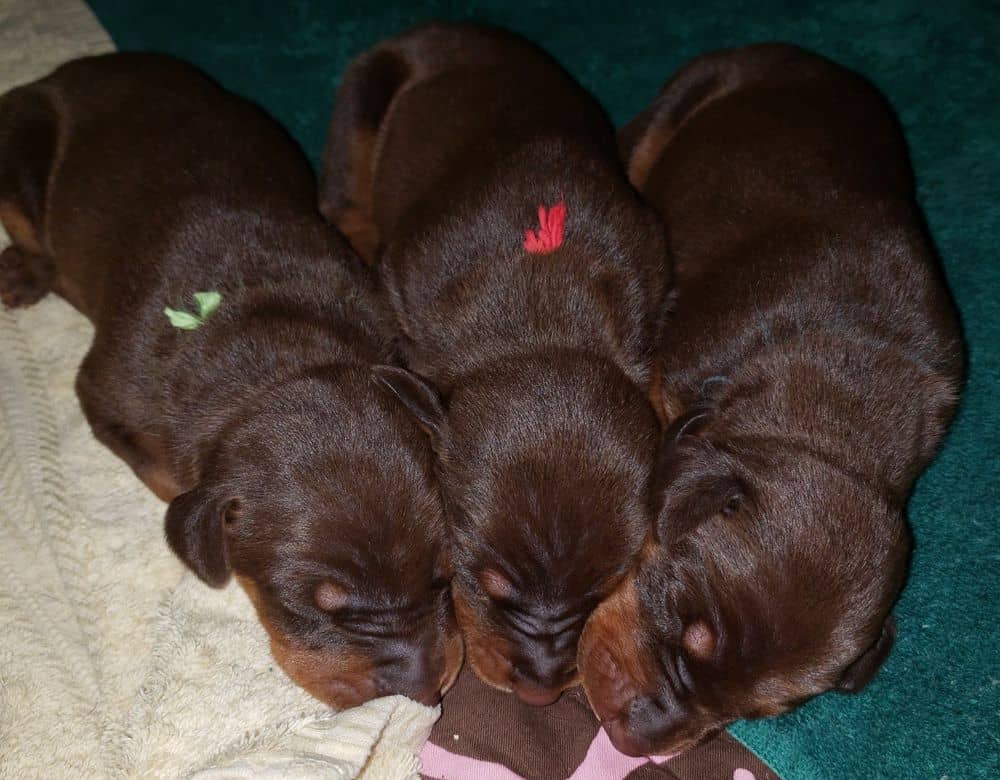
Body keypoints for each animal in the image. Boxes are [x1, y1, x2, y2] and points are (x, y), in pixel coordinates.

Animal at [0, 51, 460, 708]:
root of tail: (68, 70)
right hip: (20, 140)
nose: (424, 692)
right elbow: (170, 477)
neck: (277, 359)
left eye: (444, 576)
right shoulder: (106, 396)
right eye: (312, 607)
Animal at [316, 25, 668, 708]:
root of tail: (451, 27)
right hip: (364, 98)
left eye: (600, 590)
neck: (543, 316)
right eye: (484, 581)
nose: (539, 694)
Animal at [580, 44, 960, 756]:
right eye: (687, 624)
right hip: (671, 113)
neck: (839, 417)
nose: (637, 739)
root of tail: (805, 56)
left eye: (759, 712)